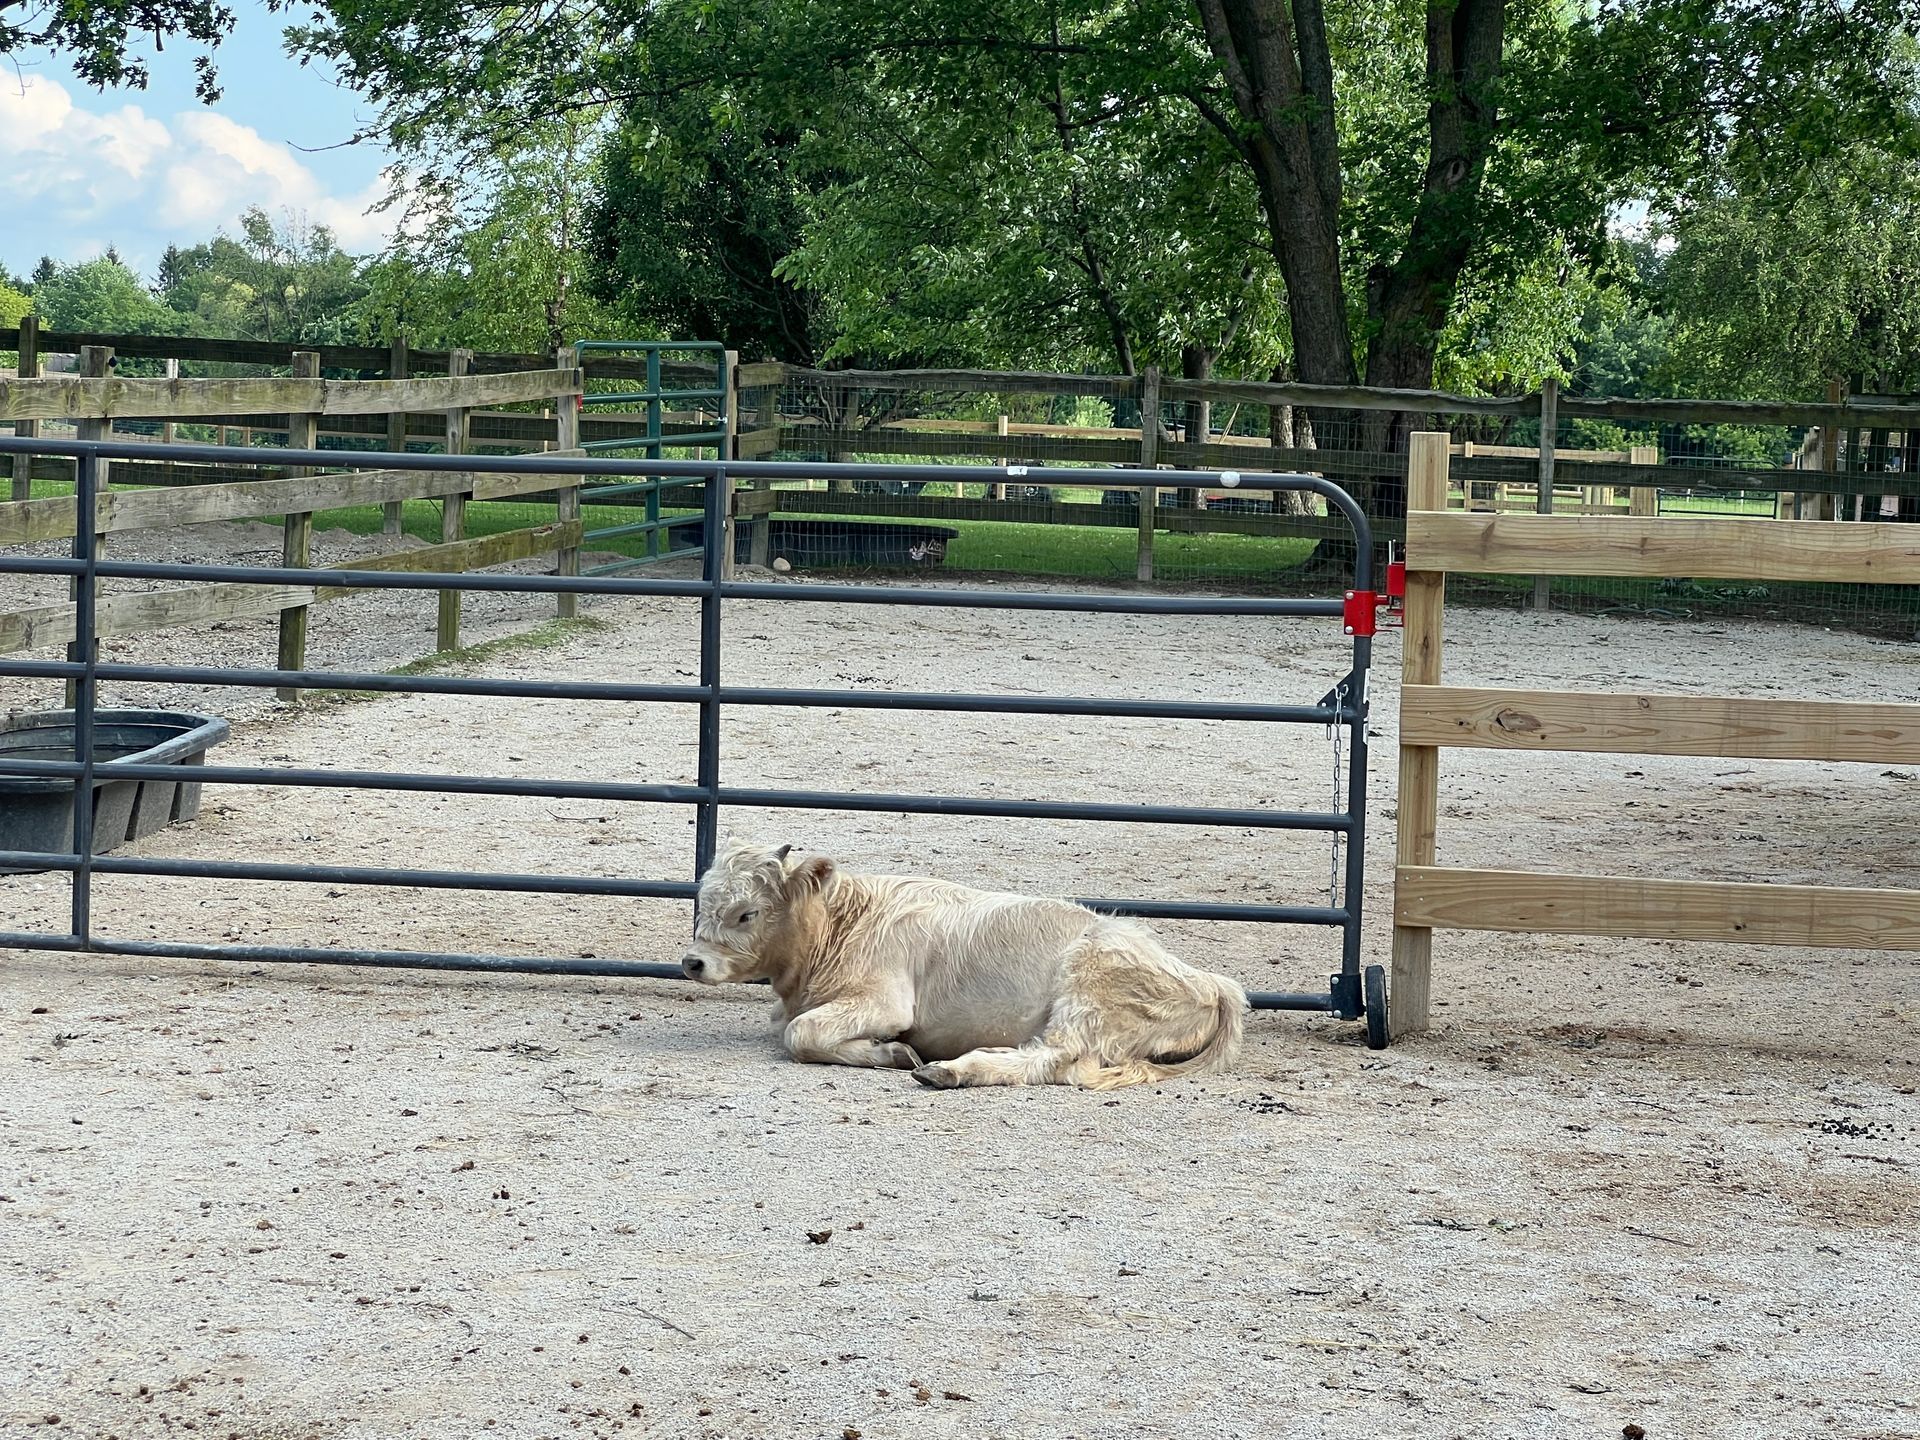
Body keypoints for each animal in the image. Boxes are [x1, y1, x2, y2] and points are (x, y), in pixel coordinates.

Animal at [679, 840, 1247, 1090]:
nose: (692, 961)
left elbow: (800, 1034)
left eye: (747, 913)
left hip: (1086, 994)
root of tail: (1212, 981)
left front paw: (893, 1052)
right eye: (703, 901)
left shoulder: (883, 1001)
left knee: (1054, 1059)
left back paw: (952, 1069)